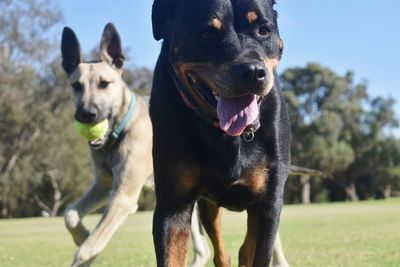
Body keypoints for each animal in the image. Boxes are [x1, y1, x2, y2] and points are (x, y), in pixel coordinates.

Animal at [60, 23, 152, 267]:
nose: (86, 115)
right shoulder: (103, 183)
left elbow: (88, 248)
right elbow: (69, 213)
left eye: (104, 84)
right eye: (76, 85)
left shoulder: (122, 197)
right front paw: (81, 233)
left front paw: (84, 249)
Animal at [150, 0, 290, 267]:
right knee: (222, 252)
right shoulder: (173, 205)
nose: (252, 71)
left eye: (263, 30)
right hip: (208, 205)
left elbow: (258, 253)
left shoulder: (268, 203)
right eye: (206, 33)